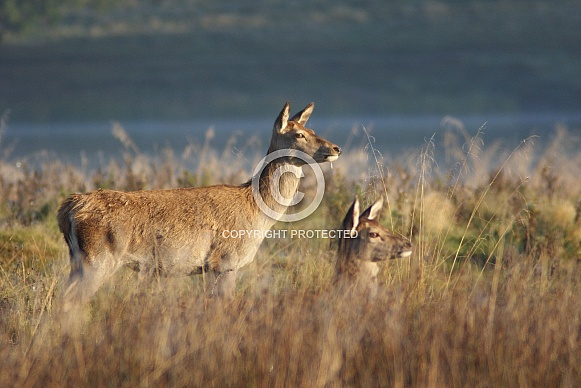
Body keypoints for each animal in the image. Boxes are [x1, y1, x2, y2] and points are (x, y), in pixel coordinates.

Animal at [57, 101, 340, 306]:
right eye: (300, 134)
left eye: (313, 131)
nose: (335, 148)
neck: (257, 216)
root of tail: (68, 209)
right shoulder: (224, 262)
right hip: (97, 258)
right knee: (70, 301)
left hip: (77, 259)